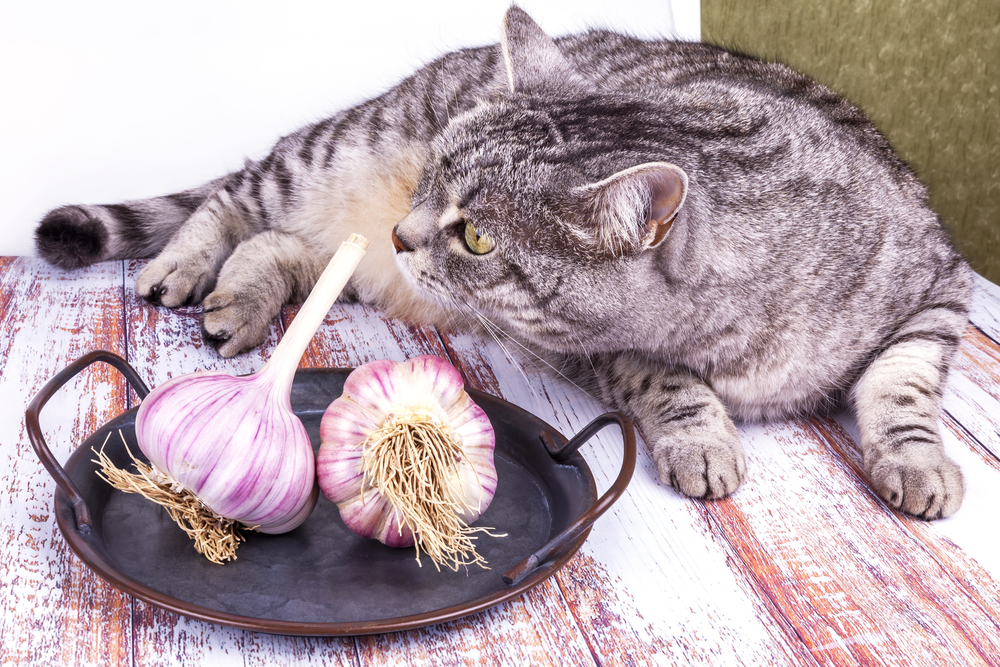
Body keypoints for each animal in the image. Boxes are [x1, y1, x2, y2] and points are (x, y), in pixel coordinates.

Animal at [35, 6, 972, 520]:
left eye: (479, 236)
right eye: (430, 177)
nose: (406, 232)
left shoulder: (941, 284)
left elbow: (905, 383)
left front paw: (917, 458)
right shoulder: (596, 349)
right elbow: (666, 377)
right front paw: (703, 434)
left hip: (344, 243)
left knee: (287, 247)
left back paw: (243, 296)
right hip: (325, 157)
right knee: (232, 199)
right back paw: (189, 268)